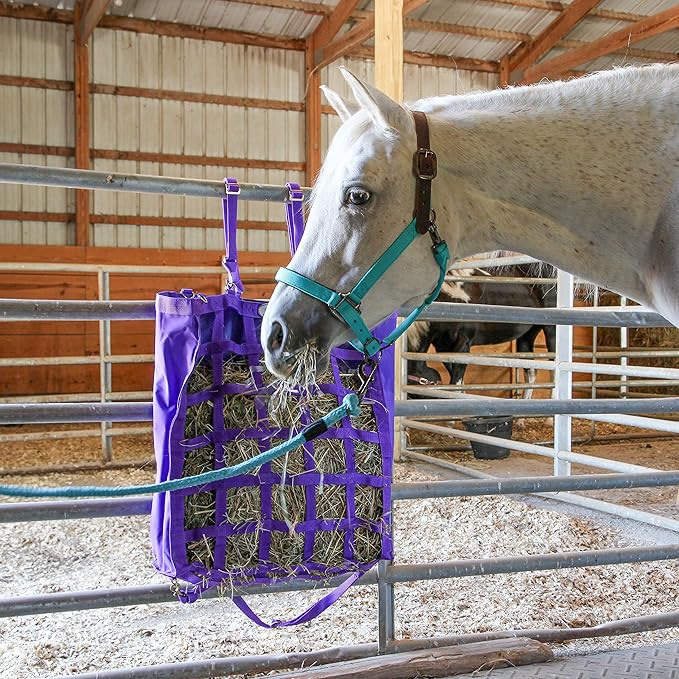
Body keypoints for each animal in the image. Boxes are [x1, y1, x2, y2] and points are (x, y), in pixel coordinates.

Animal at [407, 264, 557, 396]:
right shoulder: (443, 348)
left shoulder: (462, 345)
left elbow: (455, 385)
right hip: (527, 335)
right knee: (531, 371)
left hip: (552, 331)